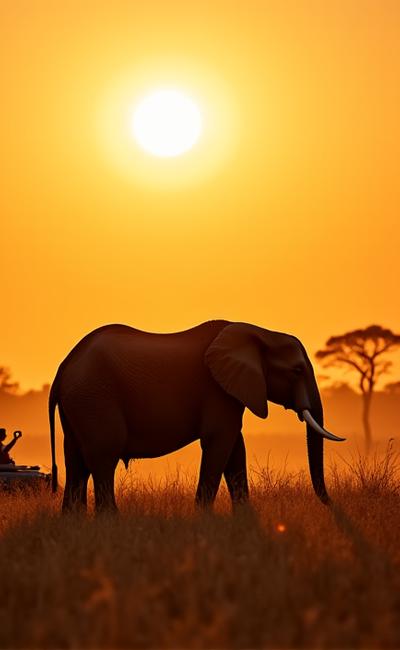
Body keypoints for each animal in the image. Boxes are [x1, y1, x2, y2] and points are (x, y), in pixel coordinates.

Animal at [49, 320, 345, 513]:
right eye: (296, 371)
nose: (330, 503)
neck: (261, 333)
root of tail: (63, 367)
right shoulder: (218, 390)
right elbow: (220, 442)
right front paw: (204, 520)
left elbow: (235, 449)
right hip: (95, 398)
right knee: (103, 458)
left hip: (79, 405)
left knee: (76, 463)